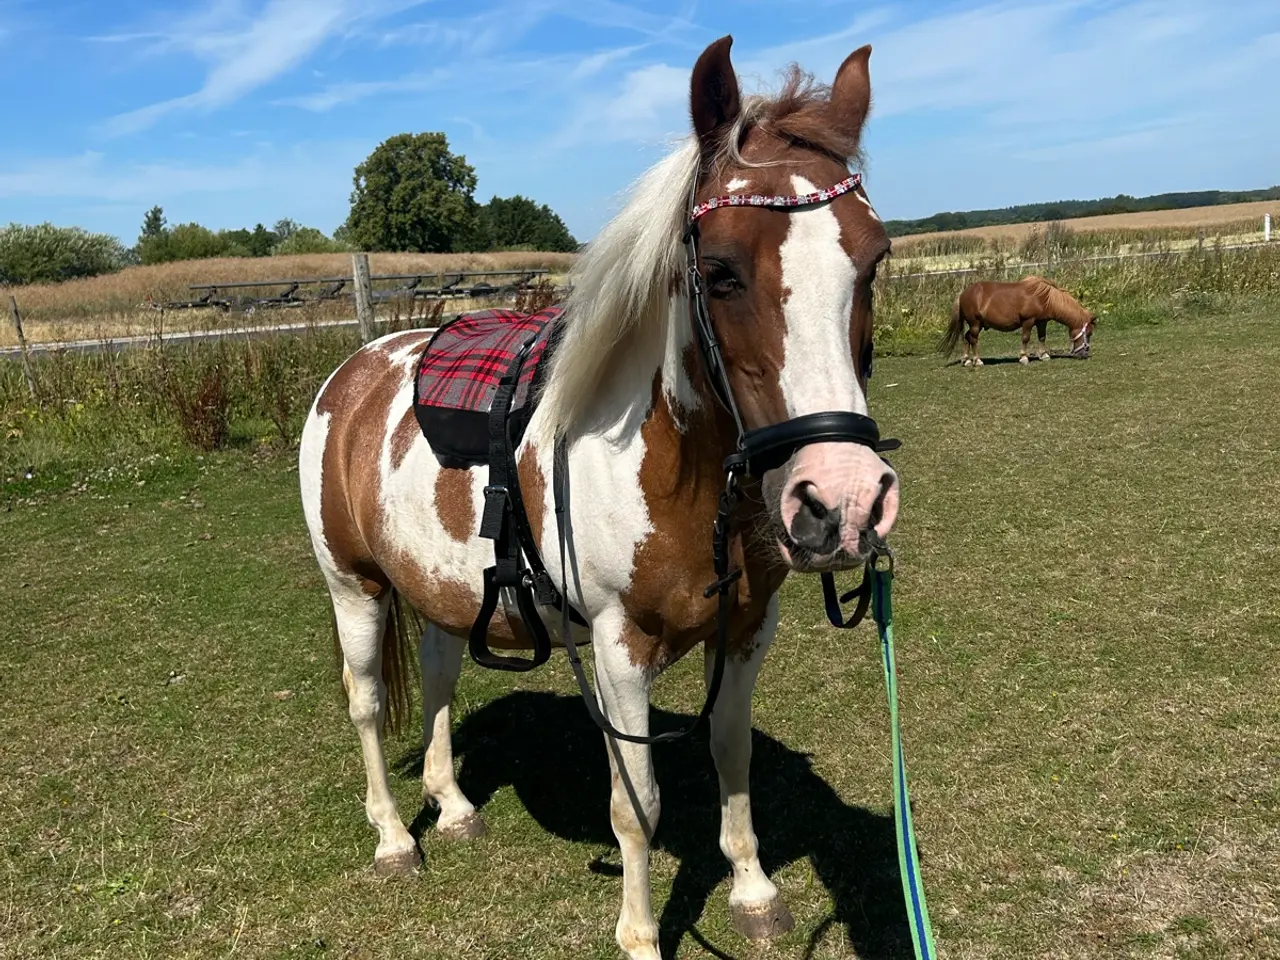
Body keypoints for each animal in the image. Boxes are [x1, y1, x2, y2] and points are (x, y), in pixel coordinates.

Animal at [298, 35, 898, 960]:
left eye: (874, 260)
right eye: (719, 272)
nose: (844, 501)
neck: (679, 473)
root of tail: (355, 372)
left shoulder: (748, 629)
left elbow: (730, 757)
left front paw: (754, 891)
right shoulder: (621, 650)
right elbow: (637, 805)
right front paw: (642, 935)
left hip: (437, 590)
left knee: (437, 677)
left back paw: (455, 806)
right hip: (354, 587)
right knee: (364, 703)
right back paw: (396, 839)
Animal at [939, 274, 1097, 366]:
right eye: (1089, 333)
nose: (1084, 354)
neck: (1044, 298)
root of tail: (962, 294)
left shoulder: (1041, 322)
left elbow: (1042, 337)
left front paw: (1044, 355)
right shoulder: (1028, 321)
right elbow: (1025, 338)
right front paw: (1023, 358)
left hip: (977, 324)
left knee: (967, 337)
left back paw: (966, 360)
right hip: (975, 324)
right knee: (973, 339)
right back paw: (977, 361)